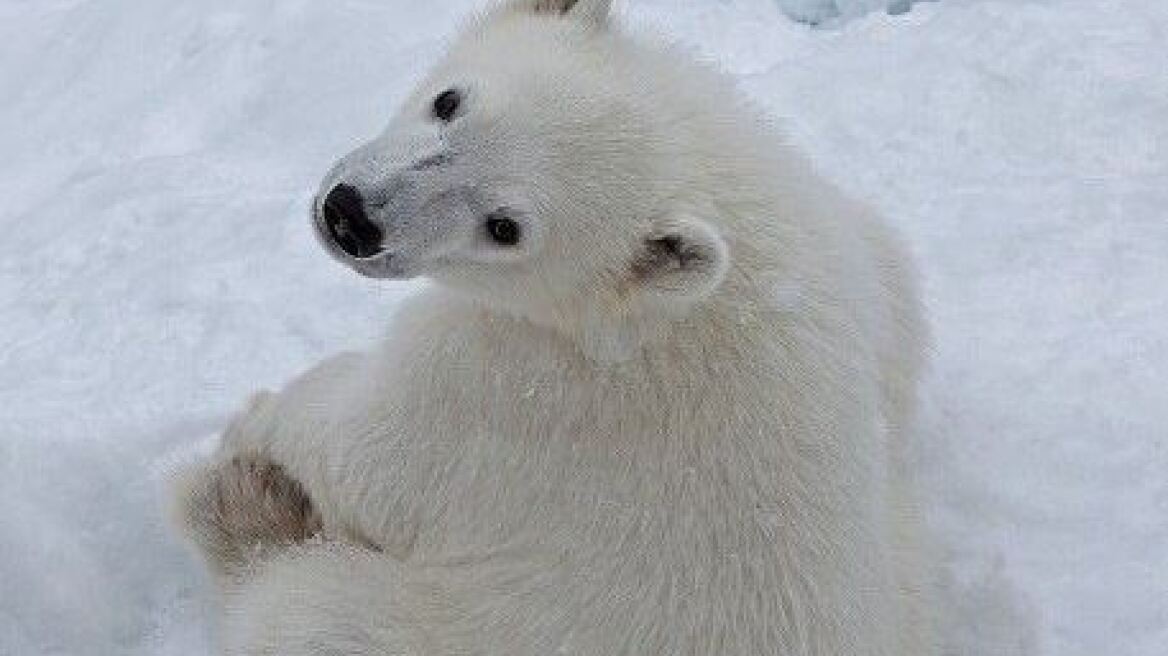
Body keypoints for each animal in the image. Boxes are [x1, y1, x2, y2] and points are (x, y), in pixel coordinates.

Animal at [170, 0, 929, 648]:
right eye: (450, 101)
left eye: (504, 227)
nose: (351, 216)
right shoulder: (864, 249)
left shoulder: (515, 392)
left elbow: (371, 456)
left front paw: (259, 415)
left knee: (306, 615)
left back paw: (239, 504)